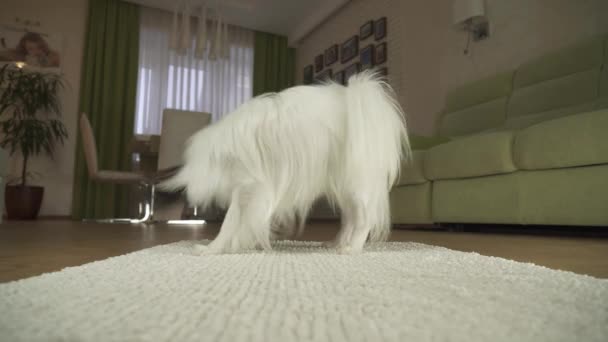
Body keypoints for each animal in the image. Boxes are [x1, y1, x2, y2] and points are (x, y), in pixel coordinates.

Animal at [163, 69, 408, 252]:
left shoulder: (250, 187)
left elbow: (231, 222)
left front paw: (213, 249)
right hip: (343, 188)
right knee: (350, 218)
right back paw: (336, 243)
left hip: (357, 186)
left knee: (364, 219)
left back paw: (351, 248)